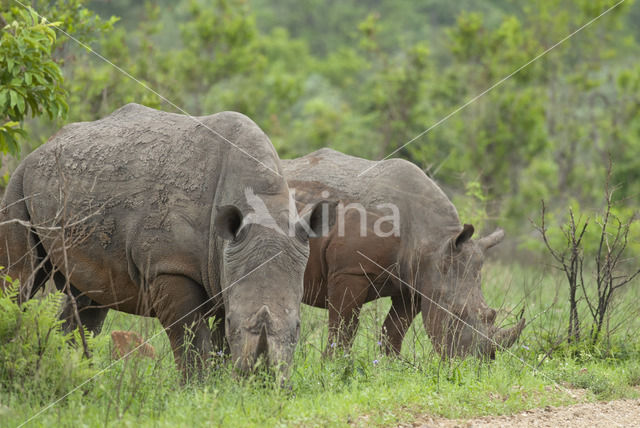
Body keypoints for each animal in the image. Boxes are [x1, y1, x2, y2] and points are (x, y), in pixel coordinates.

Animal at [0, 103, 328, 374]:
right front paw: (199, 388)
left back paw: (74, 372)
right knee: (20, 279)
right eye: (234, 323)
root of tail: (43, 146)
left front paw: (223, 388)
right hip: (19, 181)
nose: (261, 382)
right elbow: (191, 338)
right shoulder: (170, 265)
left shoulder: (225, 264)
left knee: (87, 299)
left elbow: (218, 342)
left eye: (298, 328)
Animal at [282, 149, 524, 360]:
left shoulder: (417, 282)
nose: (477, 363)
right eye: (456, 315)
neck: (434, 243)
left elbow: (394, 330)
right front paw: (334, 364)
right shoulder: (350, 271)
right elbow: (343, 325)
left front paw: (391, 366)